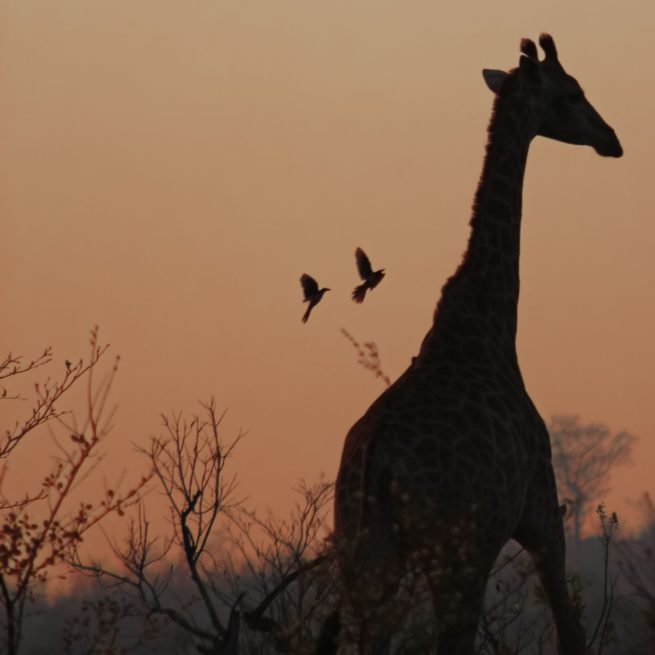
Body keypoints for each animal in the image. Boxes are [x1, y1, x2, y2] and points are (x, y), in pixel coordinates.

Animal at [332, 34, 622, 654]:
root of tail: (374, 465)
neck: (490, 320)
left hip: (363, 557)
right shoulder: (542, 510)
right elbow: (570, 630)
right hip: (455, 555)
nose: (612, 139)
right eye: (573, 92)